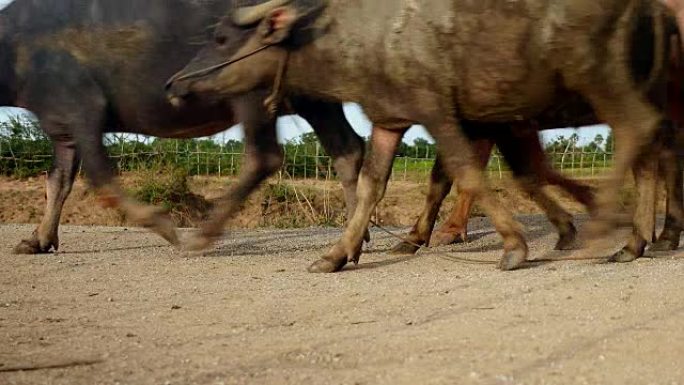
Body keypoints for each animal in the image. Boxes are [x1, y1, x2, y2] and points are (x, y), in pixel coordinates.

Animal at [1, 0, 368, 255]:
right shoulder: (61, 127)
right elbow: (57, 182)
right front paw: (37, 240)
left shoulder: (84, 109)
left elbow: (100, 179)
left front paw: (163, 225)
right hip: (312, 95)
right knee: (348, 149)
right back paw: (357, 234)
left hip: (250, 87)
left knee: (264, 157)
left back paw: (202, 235)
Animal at [170, 0, 672, 272]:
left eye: (220, 38)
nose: (175, 84)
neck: (369, 37)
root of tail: (652, 9)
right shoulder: (390, 120)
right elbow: (371, 185)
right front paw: (336, 254)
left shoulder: (439, 114)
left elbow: (466, 174)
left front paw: (513, 245)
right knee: (648, 150)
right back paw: (633, 241)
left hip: (601, 81)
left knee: (639, 133)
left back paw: (613, 225)